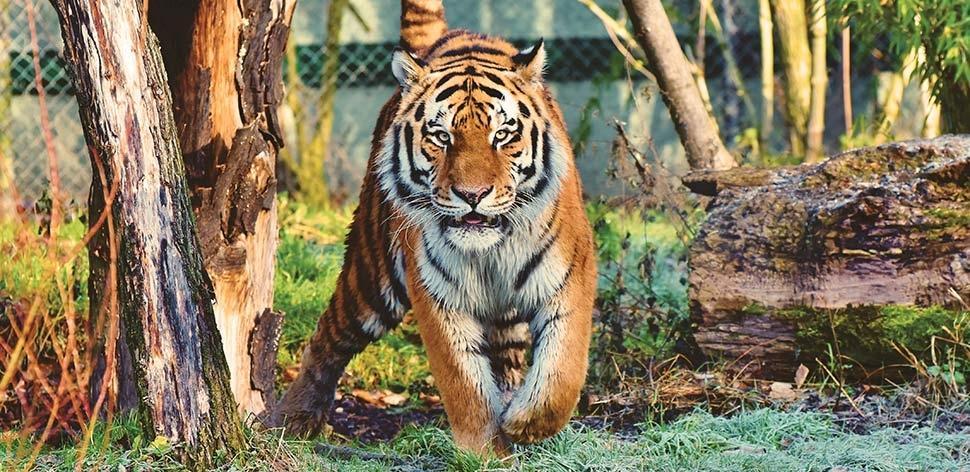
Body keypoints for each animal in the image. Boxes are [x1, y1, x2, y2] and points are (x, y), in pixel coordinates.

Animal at [276, 0, 597, 454]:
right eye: (441, 137)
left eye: (503, 134)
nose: (472, 194)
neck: (490, 251)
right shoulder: (438, 296)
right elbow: (464, 386)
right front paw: (484, 451)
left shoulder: (570, 277)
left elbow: (563, 371)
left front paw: (525, 425)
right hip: (372, 275)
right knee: (330, 335)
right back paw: (291, 418)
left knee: (508, 359)